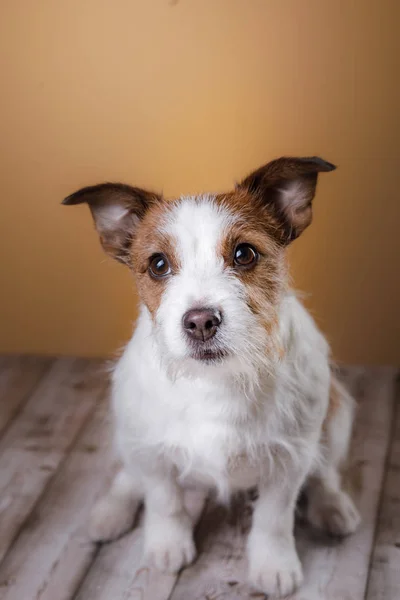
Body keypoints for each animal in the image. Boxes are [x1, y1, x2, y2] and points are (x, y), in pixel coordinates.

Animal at [64, 157, 360, 596]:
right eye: (158, 264)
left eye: (244, 254)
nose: (201, 321)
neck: (217, 381)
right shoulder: (152, 452)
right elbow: (164, 500)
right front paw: (167, 545)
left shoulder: (289, 459)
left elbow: (274, 518)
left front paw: (274, 565)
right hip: (127, 430)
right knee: (128, 475)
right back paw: (110, 511)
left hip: (336, 416)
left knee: (324, 471)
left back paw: (332, 506)